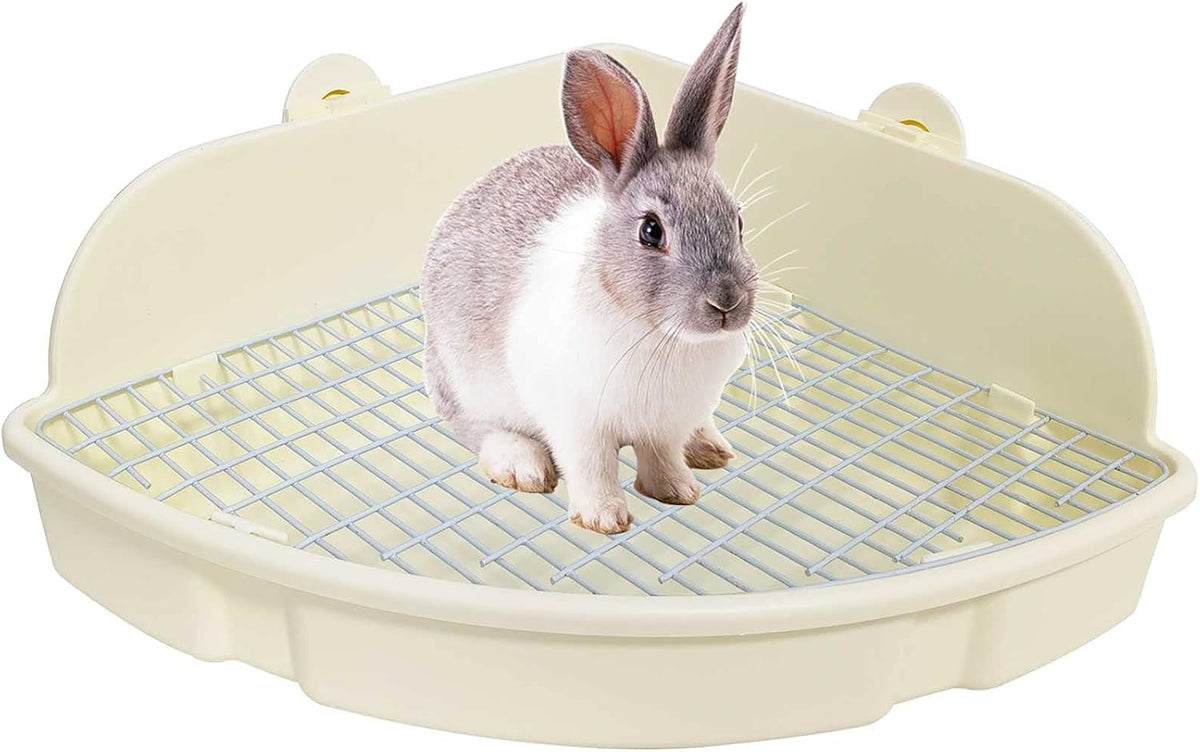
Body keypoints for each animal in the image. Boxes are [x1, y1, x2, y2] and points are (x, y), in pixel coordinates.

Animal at [420, 3, 755, 534]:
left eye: (738, 221)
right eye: (651, 231)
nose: (727, 302)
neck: (661, 336)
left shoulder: (664, 424)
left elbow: (661, 457)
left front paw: (679, 492)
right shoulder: (577, 423)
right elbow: (592, 467)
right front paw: (604, 519)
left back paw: (709, 448)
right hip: (464, 382)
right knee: (478, 429)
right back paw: (523, 466)